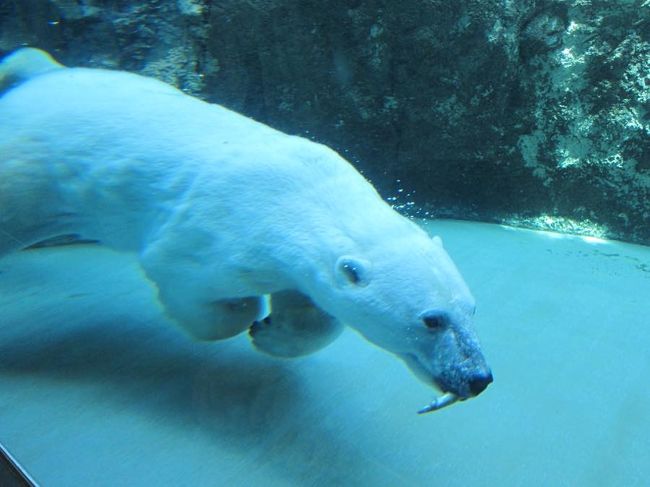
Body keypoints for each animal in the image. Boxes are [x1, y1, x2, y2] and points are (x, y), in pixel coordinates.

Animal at [0, 49, 488, 414]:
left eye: (471, 310)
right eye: (431, 320)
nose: (478, 377)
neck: (306, 193)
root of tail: (38, 80)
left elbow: (316, 310)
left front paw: (274, 329)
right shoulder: (218, 233)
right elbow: (188, 280)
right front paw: (247, 316)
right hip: (31, 167)